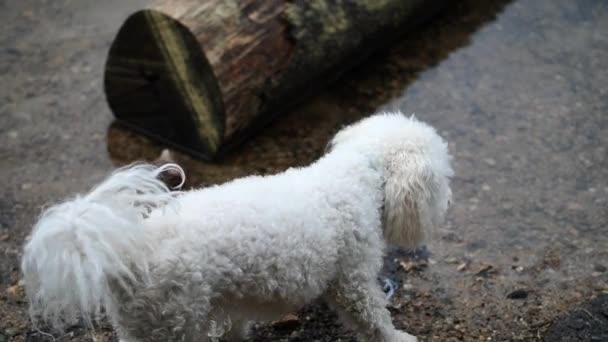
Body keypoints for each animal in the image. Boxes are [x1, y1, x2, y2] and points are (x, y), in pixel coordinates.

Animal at [21, 111, 452, 340]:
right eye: (441, 180)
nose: (448, 203)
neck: (357, 171)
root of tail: (128, 248)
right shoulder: (353, 279)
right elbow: (372, 317)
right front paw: (398, 337)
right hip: (173, 322)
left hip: (144, 323)